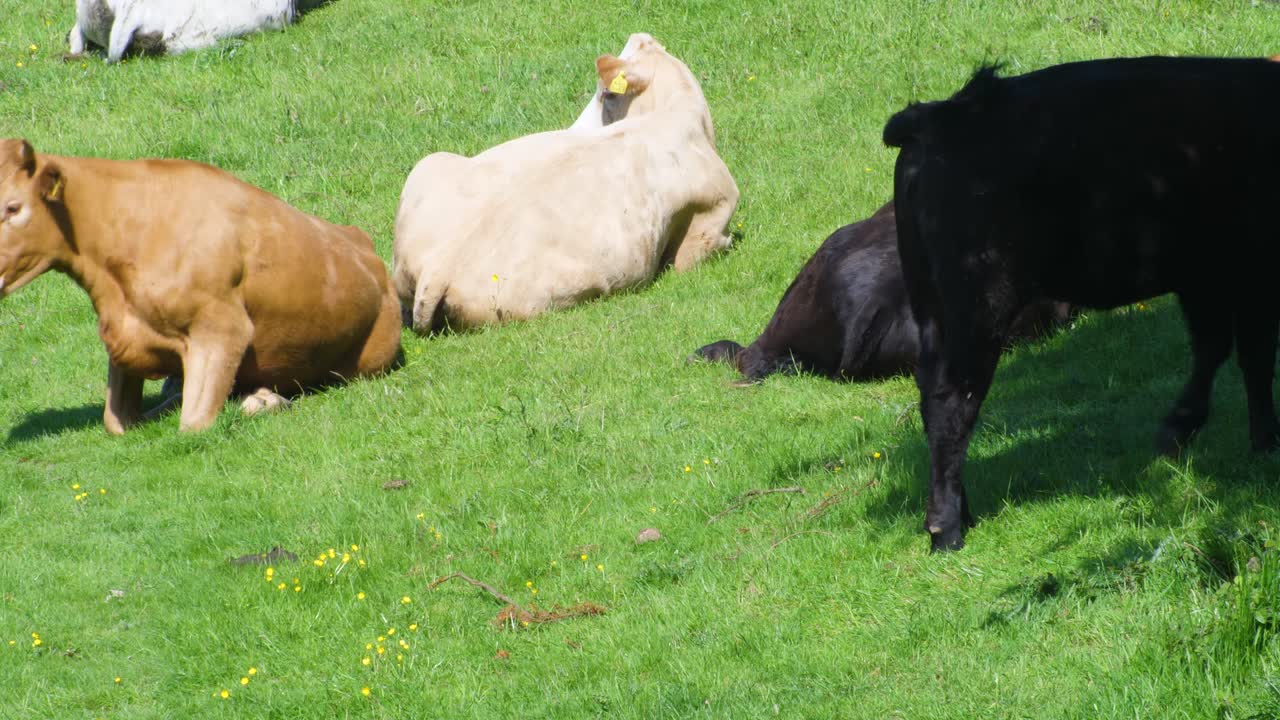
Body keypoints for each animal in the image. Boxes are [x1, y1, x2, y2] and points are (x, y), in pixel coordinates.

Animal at [0, 139, 402, 433]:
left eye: (13, 207)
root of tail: (363, 243)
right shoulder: (125, 337)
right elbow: (117, 422)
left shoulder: (222, 329)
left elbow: (192, 425)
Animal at [883, 56, 1280, 552]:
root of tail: (944, 113)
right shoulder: (1250, 273)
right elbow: (1254, 358)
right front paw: (1263, 443)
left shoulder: (1204, 278)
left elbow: (1215, 348)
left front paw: (1181, 427)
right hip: (978, 306)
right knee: (951, 400)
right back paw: (946, 528)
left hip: (933, 310)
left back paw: (962, 510)